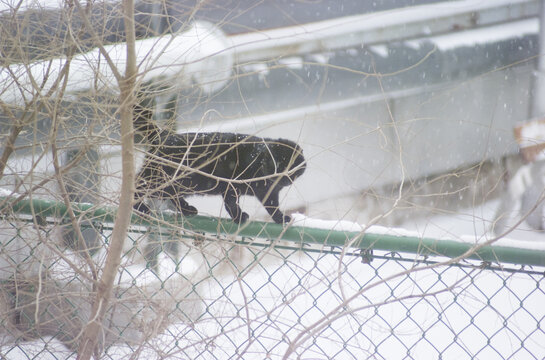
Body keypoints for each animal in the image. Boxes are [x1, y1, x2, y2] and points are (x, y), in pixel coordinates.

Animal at [130, 104, 304, 224]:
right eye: (277, 165)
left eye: (292, 170)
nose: (283, 178)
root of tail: (162, 135)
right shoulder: (231, 185)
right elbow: (231, 204)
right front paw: (239, 217)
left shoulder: (269, 193)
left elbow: (272, 208)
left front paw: (281, 219)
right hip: (159, 180)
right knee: (136, 187)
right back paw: (141, 208)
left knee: (173, 196)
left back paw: (187, 209)